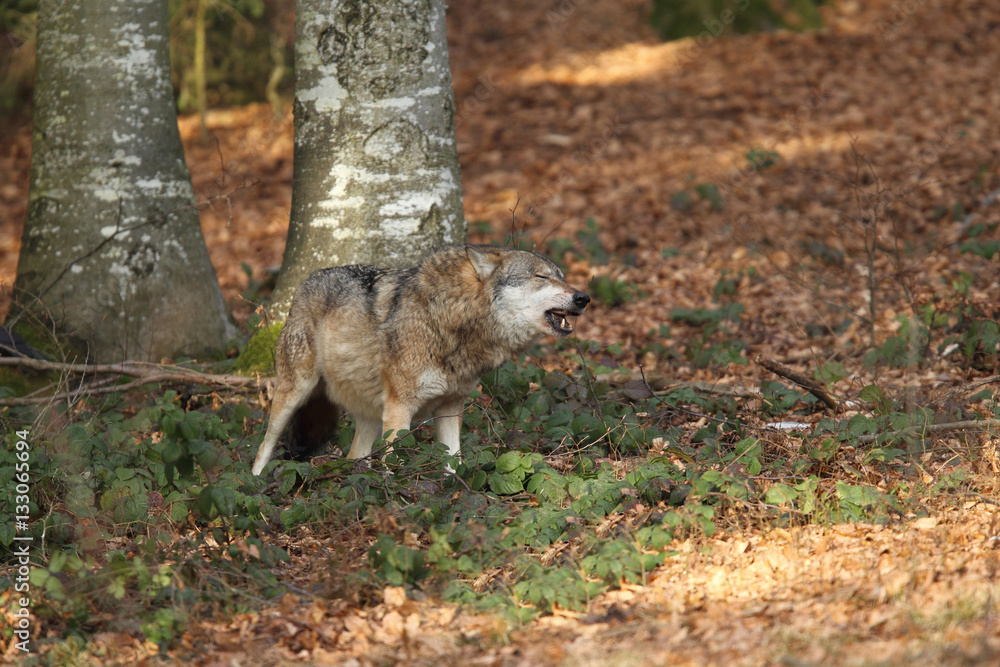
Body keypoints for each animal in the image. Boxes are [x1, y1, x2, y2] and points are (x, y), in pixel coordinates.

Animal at [251, 244, 590, 475]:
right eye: (541, 276)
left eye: (562, 278)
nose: (583, 298)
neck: (449, 317)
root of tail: (308, 279)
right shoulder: (400, 409)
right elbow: (395, 463)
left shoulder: (451, 406)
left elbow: (453, 461)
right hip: (294, 394)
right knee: (264, 447)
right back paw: (256, 486)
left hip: (370, 417)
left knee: (354, 458)